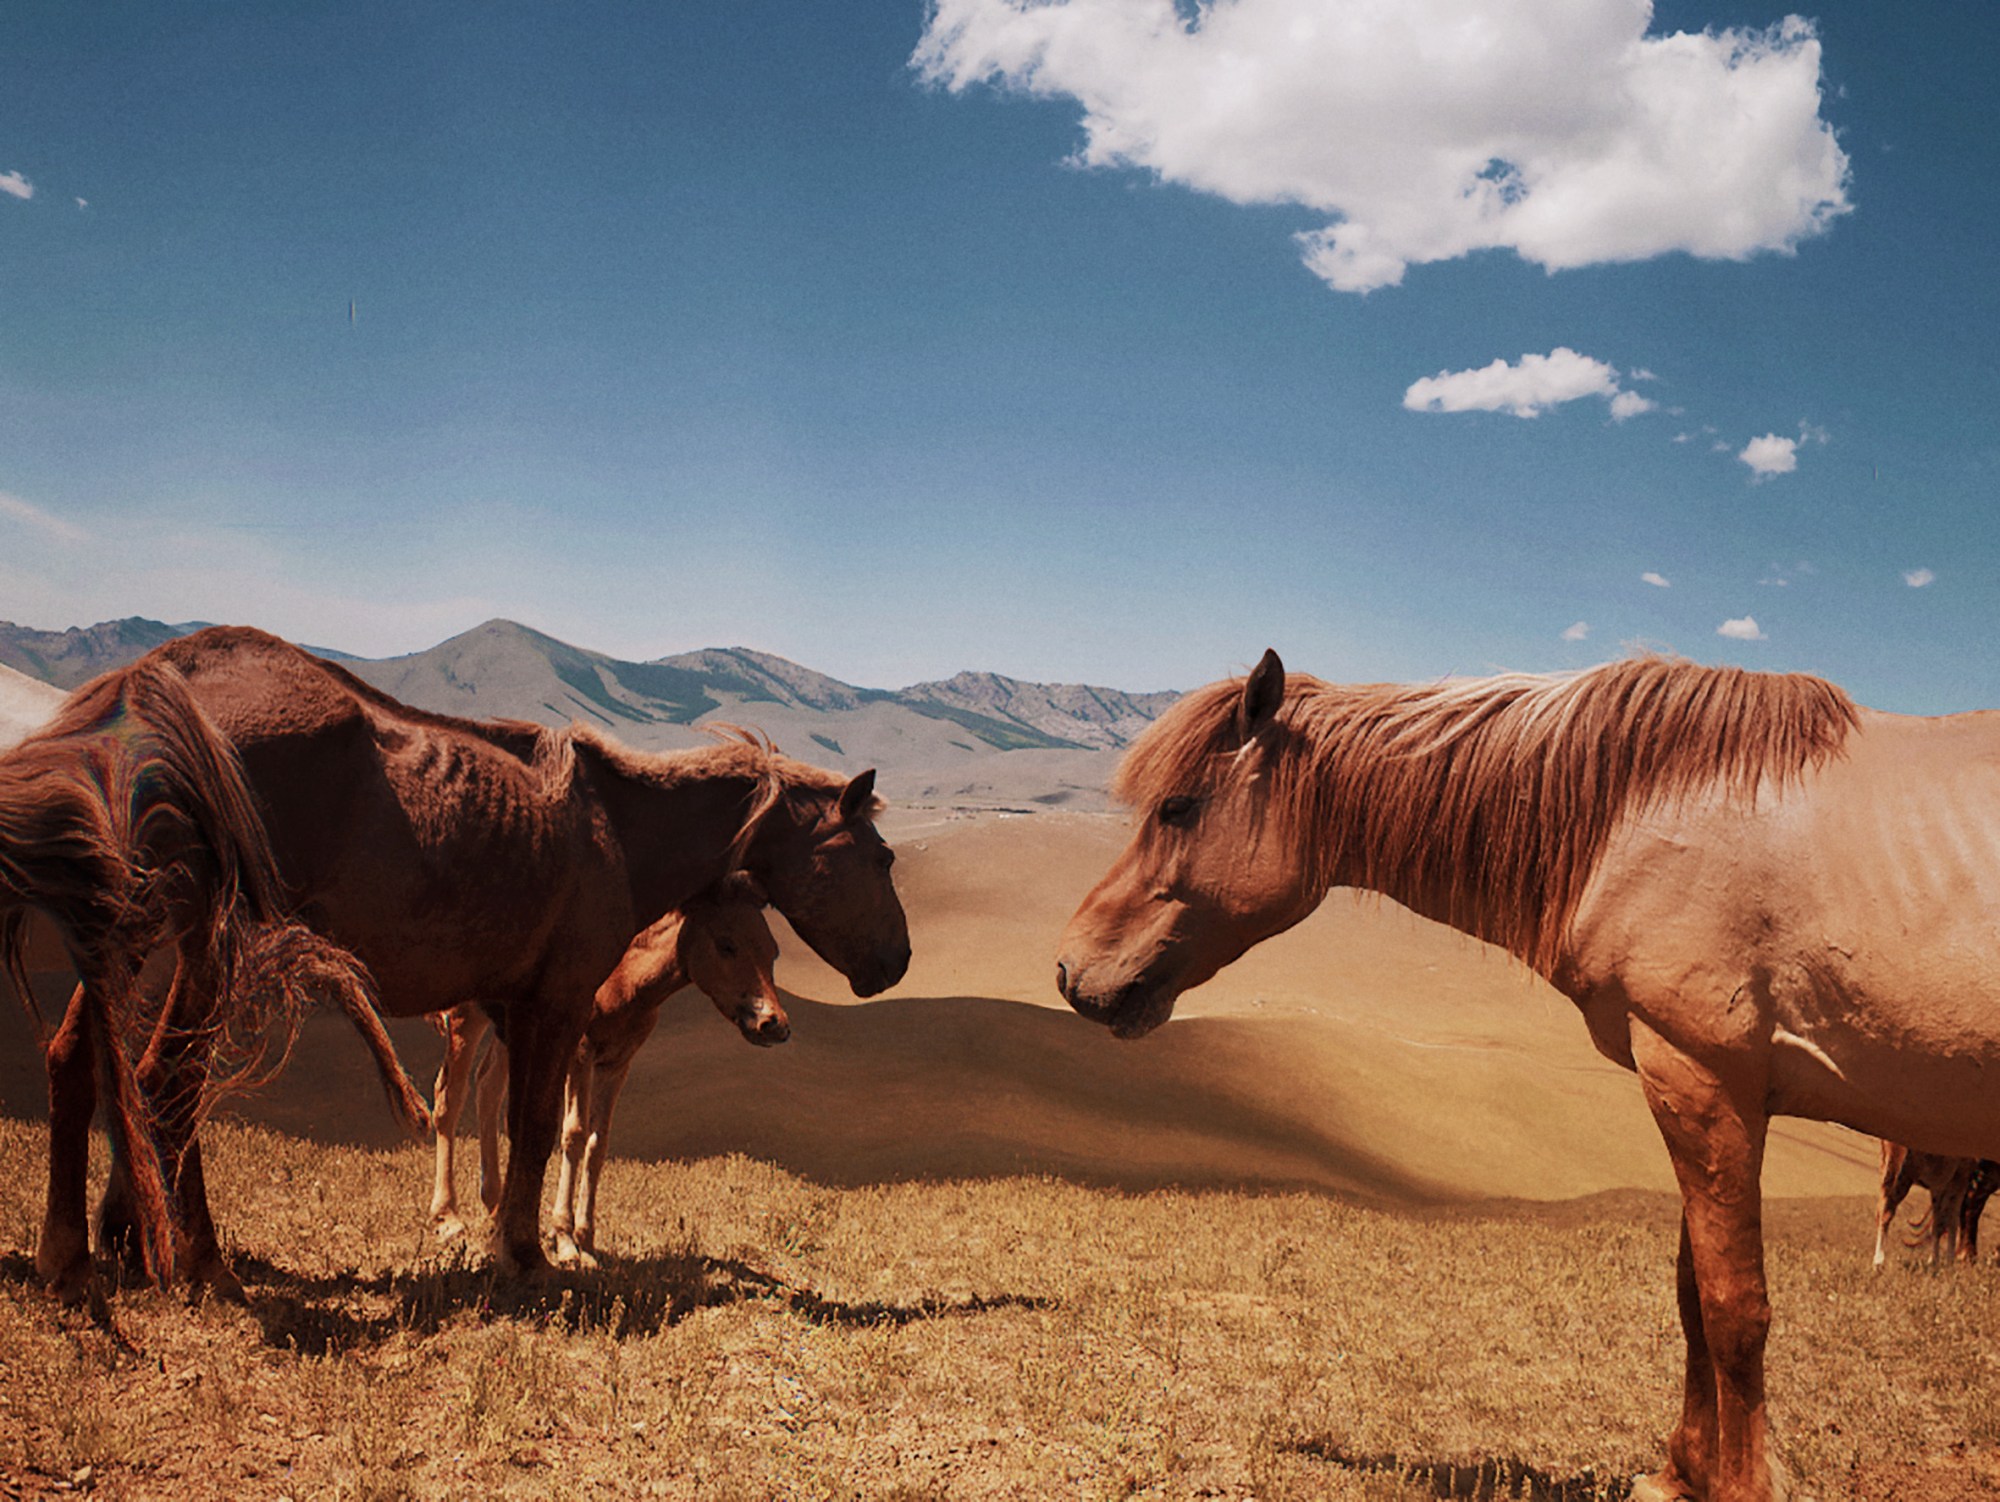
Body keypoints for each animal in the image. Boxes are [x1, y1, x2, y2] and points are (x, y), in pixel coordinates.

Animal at [426, 876, 784, 1264]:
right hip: (467, 1013)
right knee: (449, 1095)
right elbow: (574, 1133)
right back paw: (448, 1217)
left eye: (773, 951)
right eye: (727, 944)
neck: (626, 978)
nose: (774, 1024)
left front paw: (586, 1238)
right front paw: (564, 1238)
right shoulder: (580, 1054)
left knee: (488, 1085)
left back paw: (495, 1210)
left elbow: (598, 1143)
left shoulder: (617, 1063)